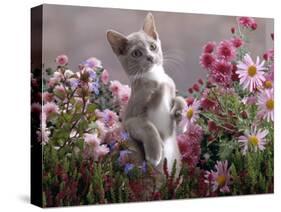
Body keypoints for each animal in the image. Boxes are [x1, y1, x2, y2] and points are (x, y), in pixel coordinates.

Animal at [106, 12, 185, 174]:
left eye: (153, 46)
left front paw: (179, 111)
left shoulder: (170, 85)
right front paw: (155, 153)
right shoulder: (130, 118)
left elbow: (179, 99)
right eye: (136, 53)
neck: (156, 79)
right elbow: (148, 126)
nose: (150, 57)